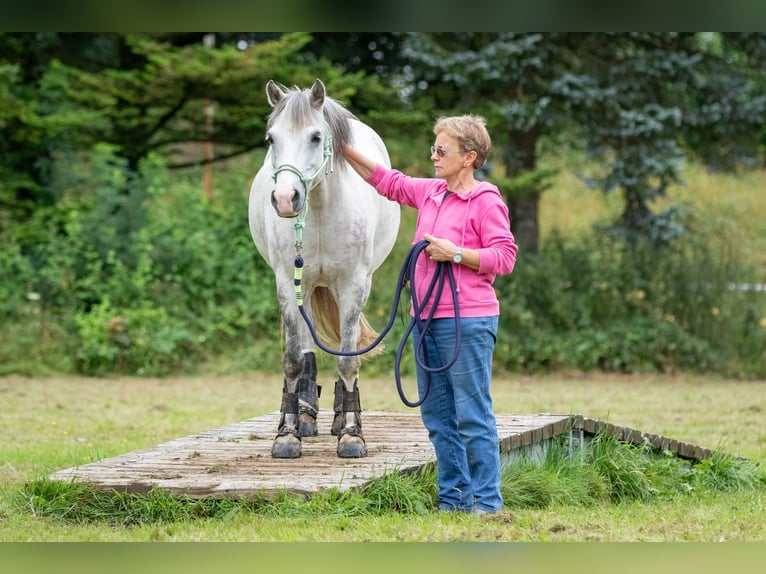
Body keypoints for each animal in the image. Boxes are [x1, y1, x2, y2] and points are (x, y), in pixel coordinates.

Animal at [249, 80, 402, 460]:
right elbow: (293, 359)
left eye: (316, 137)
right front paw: (287, 435)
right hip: (307, 287)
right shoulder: (287, 283)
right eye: (271, 138)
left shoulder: (353, 285)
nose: (285, 199)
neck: (318, 210)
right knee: (307, 346)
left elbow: (348, 360)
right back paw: (305, 417)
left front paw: (351, 435)